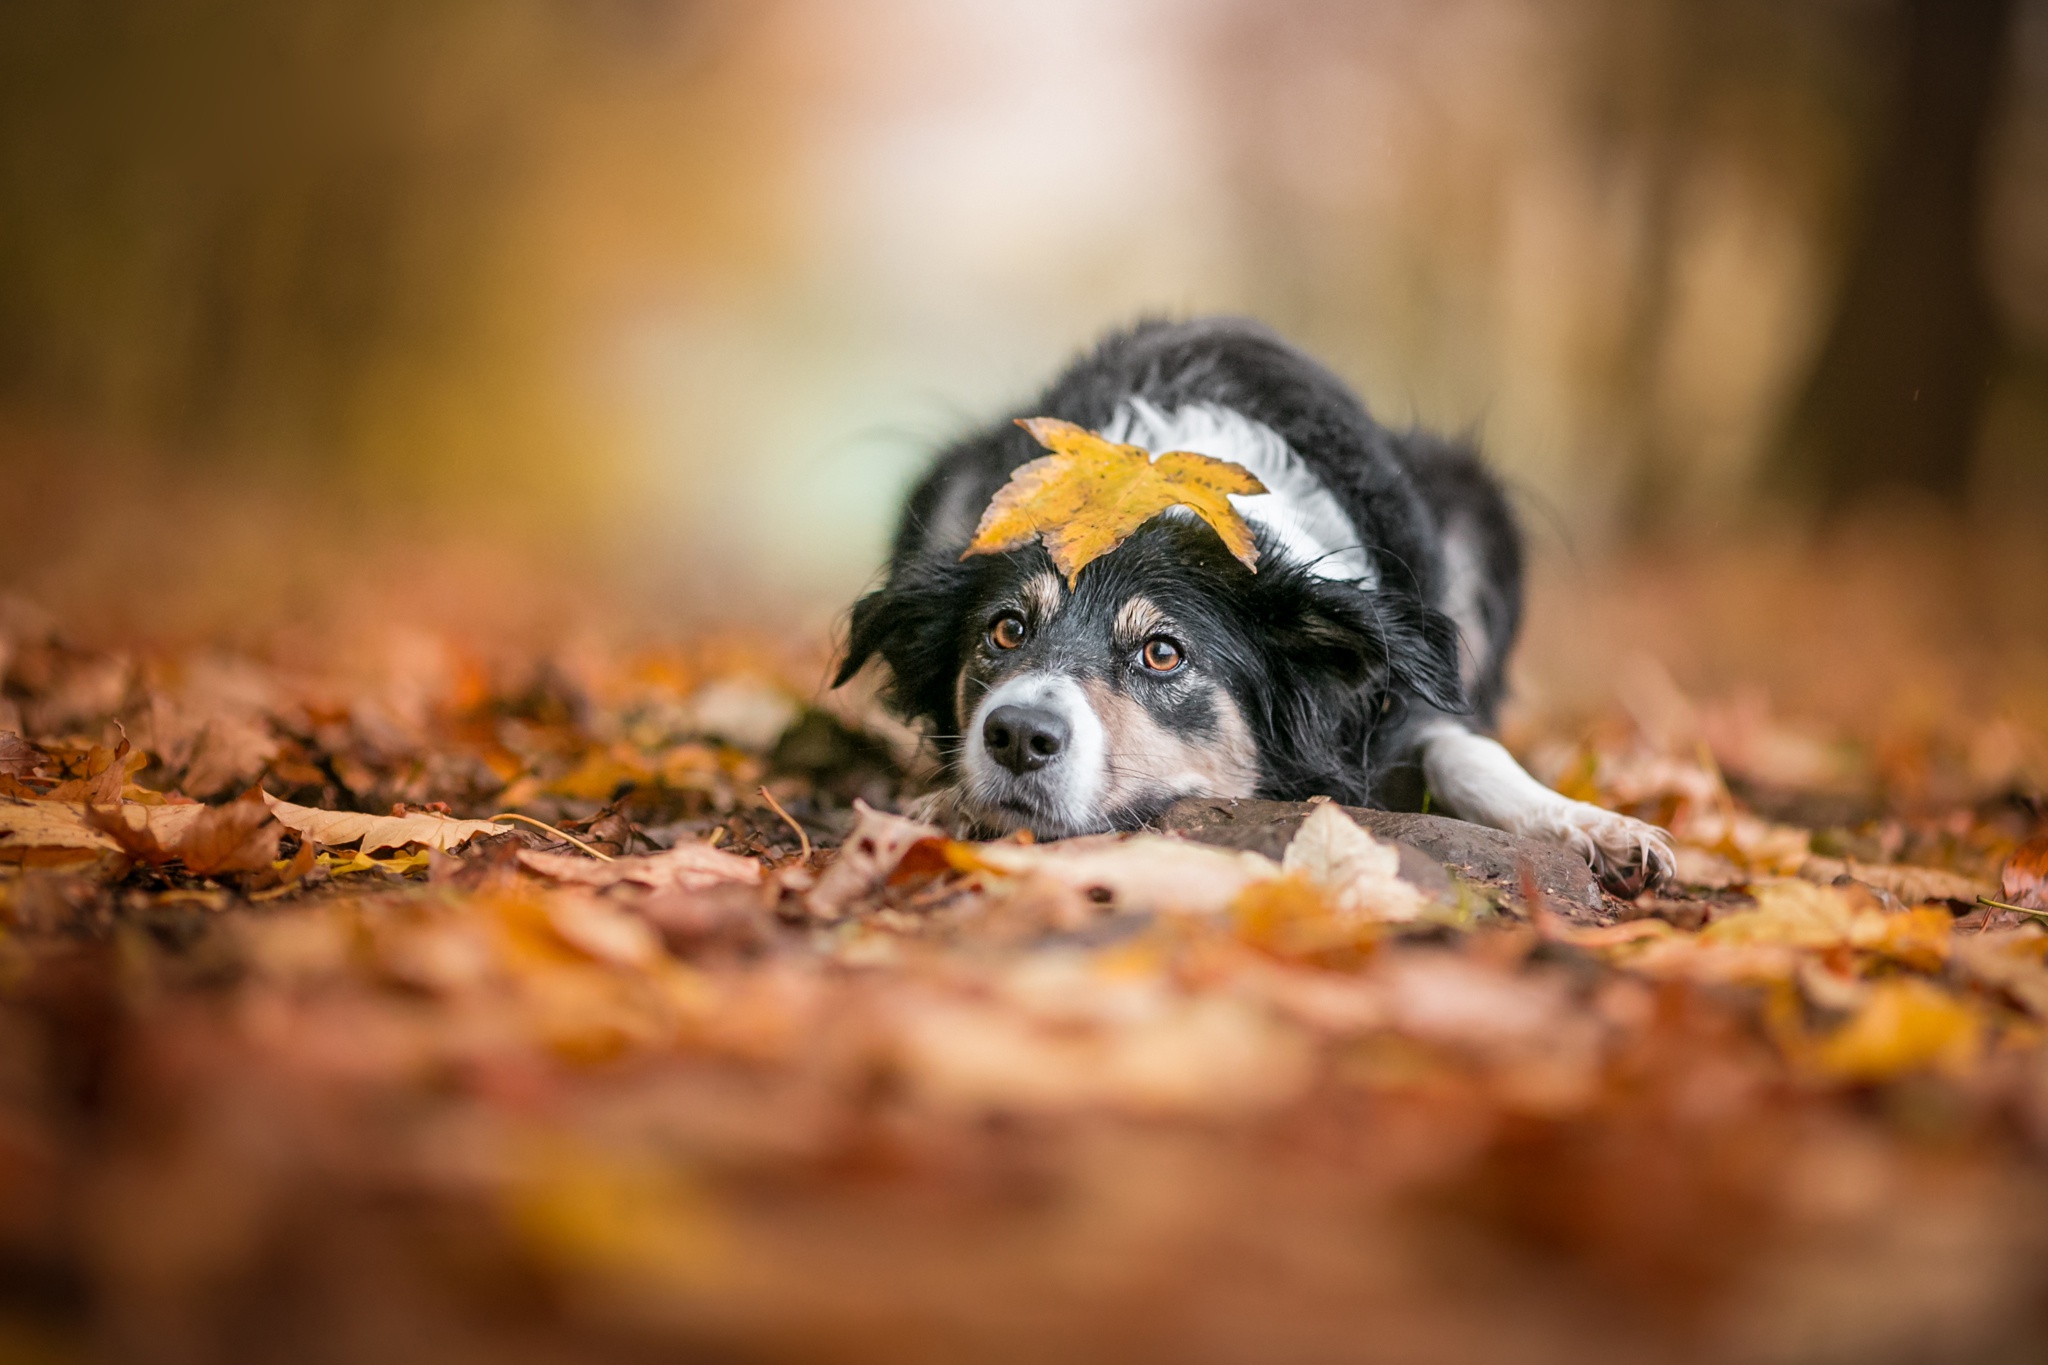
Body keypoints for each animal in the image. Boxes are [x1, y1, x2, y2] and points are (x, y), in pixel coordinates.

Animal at [831, 319, 1679, 896]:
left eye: (1162, 651)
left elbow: (1467, 749)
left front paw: (1598, 826)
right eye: (1005, 630)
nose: (1015, 735)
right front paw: (940, 802)